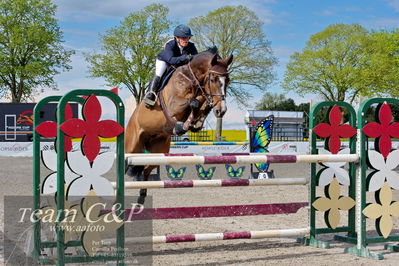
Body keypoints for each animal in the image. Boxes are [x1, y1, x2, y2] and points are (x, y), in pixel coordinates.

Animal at [123, 47, 233, 202]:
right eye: (212, 79)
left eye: (227, 80)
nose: (221, 110)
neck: (191, 78)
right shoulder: (174, 105)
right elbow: (194, 101)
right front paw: (184, 125)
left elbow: (200, 102)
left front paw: (196, 122)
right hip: (131, 147)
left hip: (158, 152)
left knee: (146, 170)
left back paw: (142, 197)